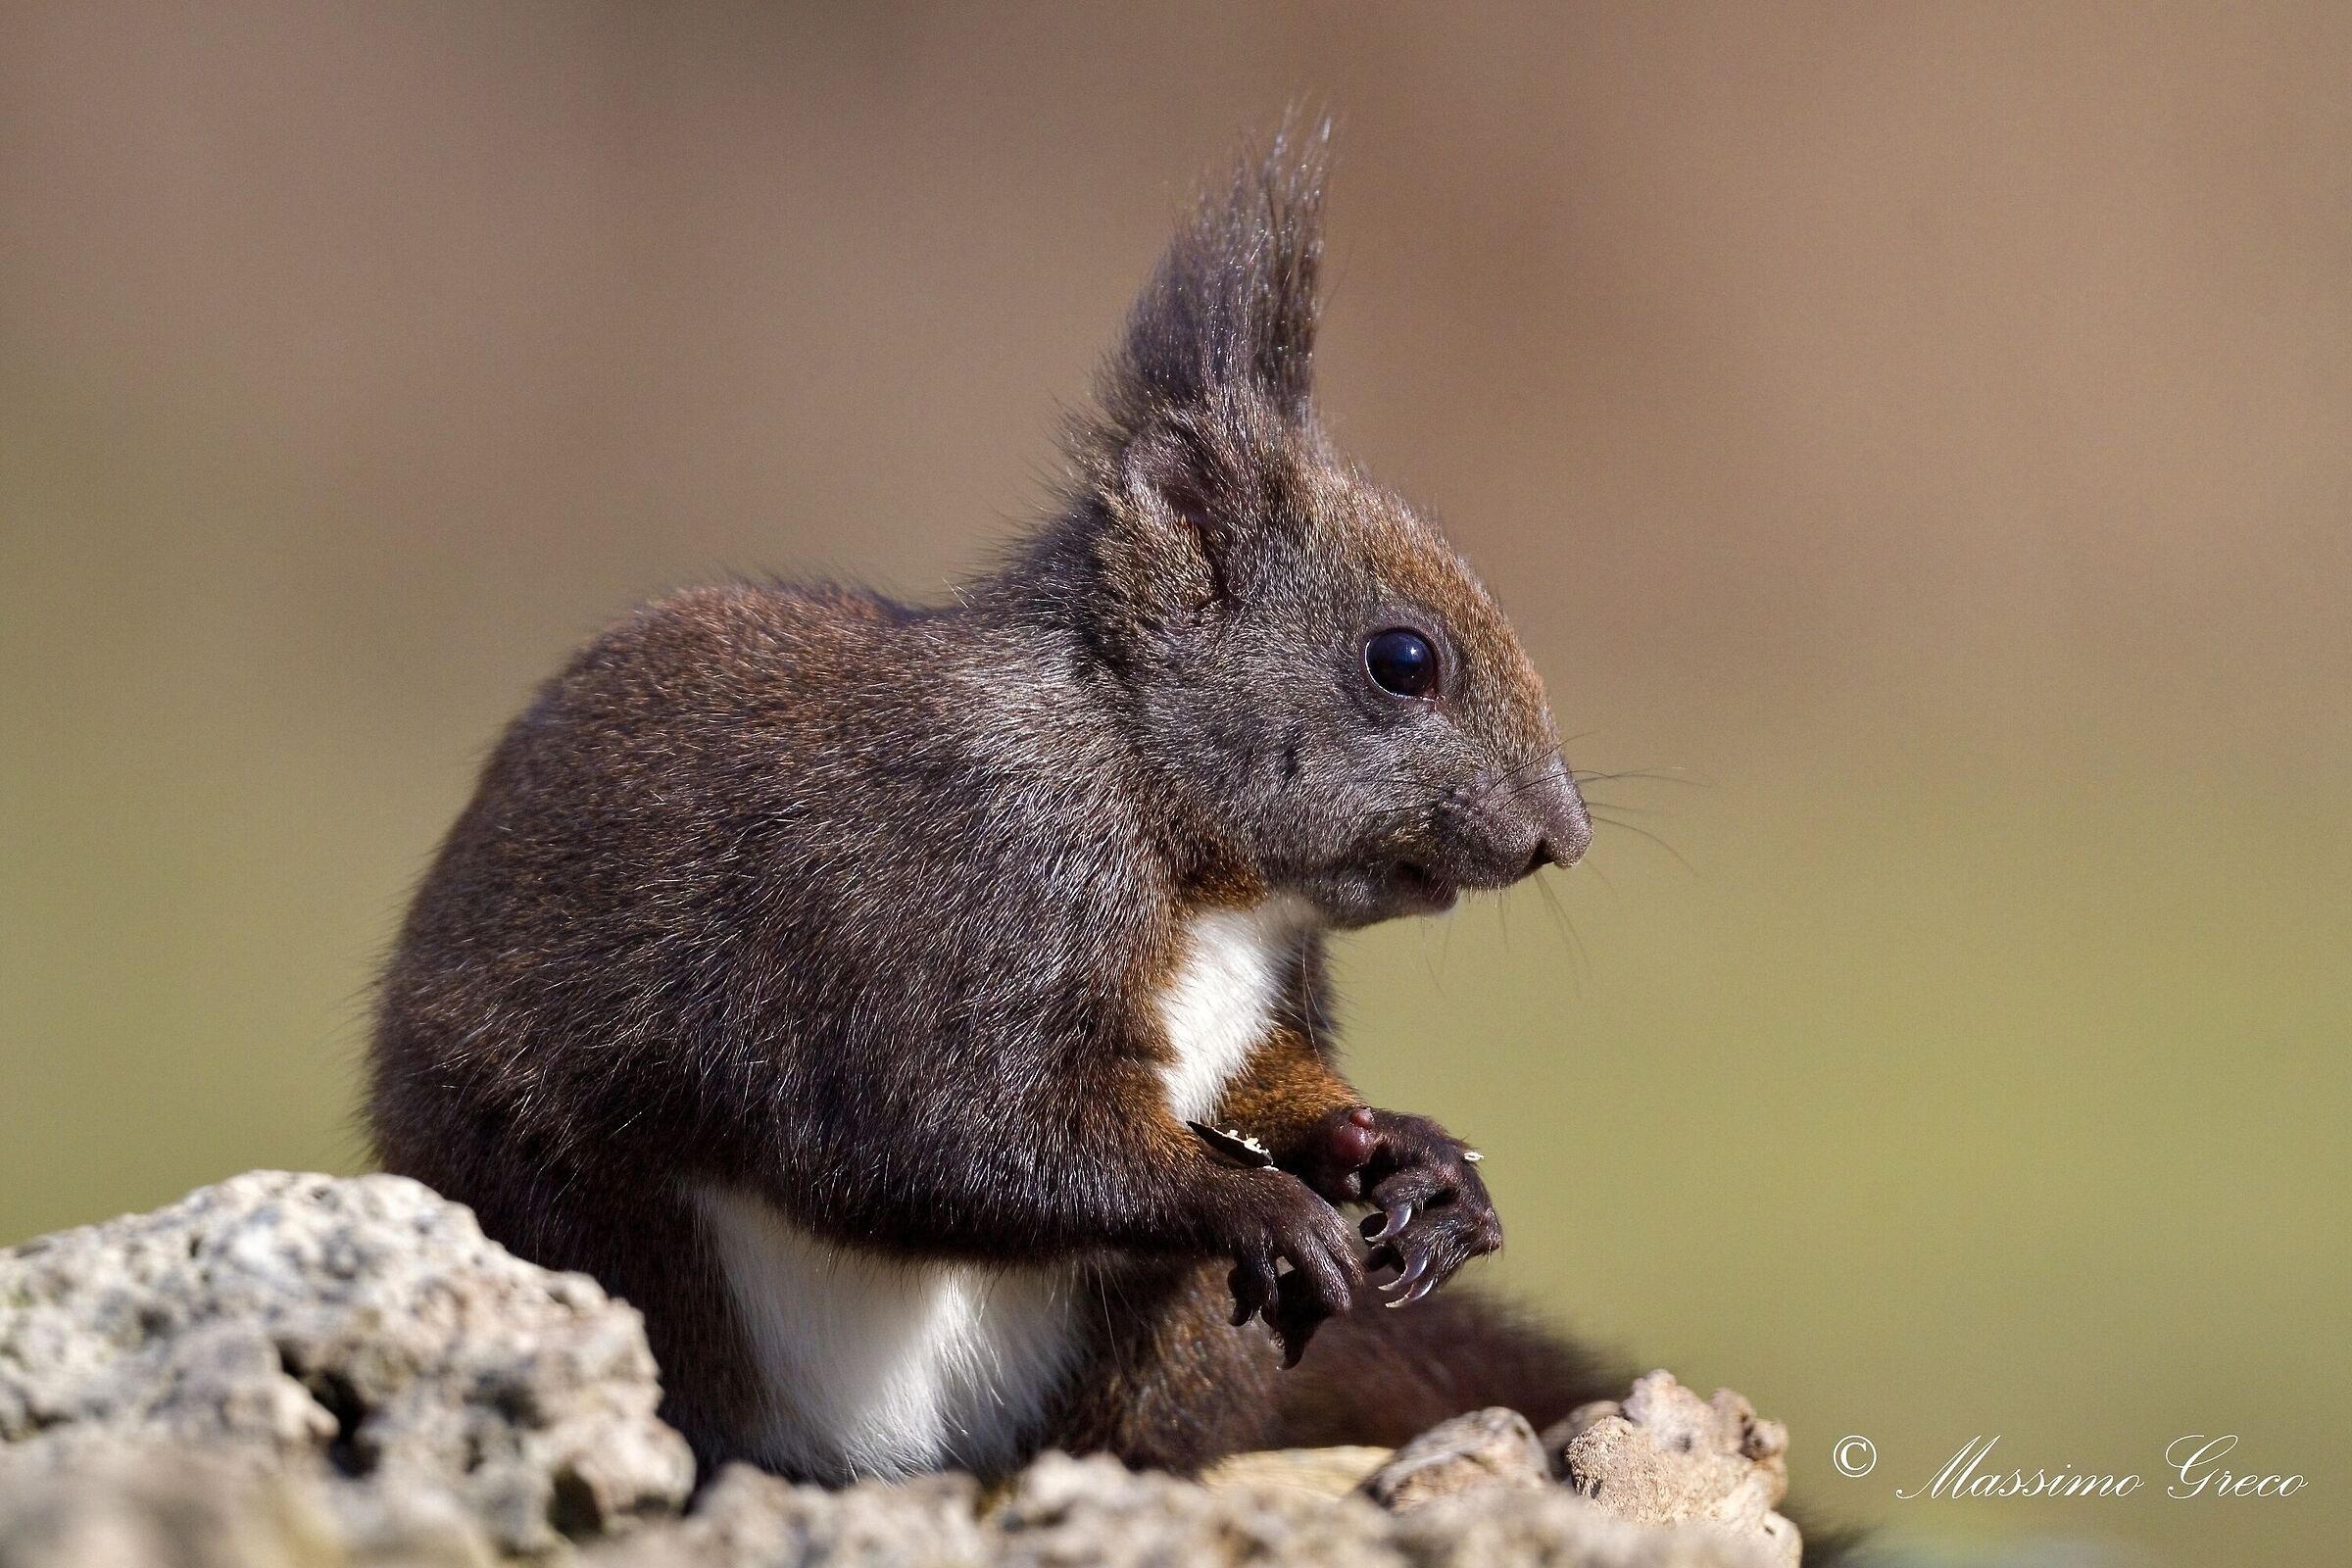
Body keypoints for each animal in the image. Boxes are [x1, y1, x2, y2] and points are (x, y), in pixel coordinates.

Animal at [368, 123, 1627, 1487]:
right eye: (1402, 660)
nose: (1561, 837)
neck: (1193, 852)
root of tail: (906, 1461)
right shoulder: (961, 891)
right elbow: (955, 1133)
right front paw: (1254, 1199)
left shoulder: (1252, 998)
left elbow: (1256, 1083)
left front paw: (1401, 1148)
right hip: (592, 1234)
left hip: (1178, 1346)